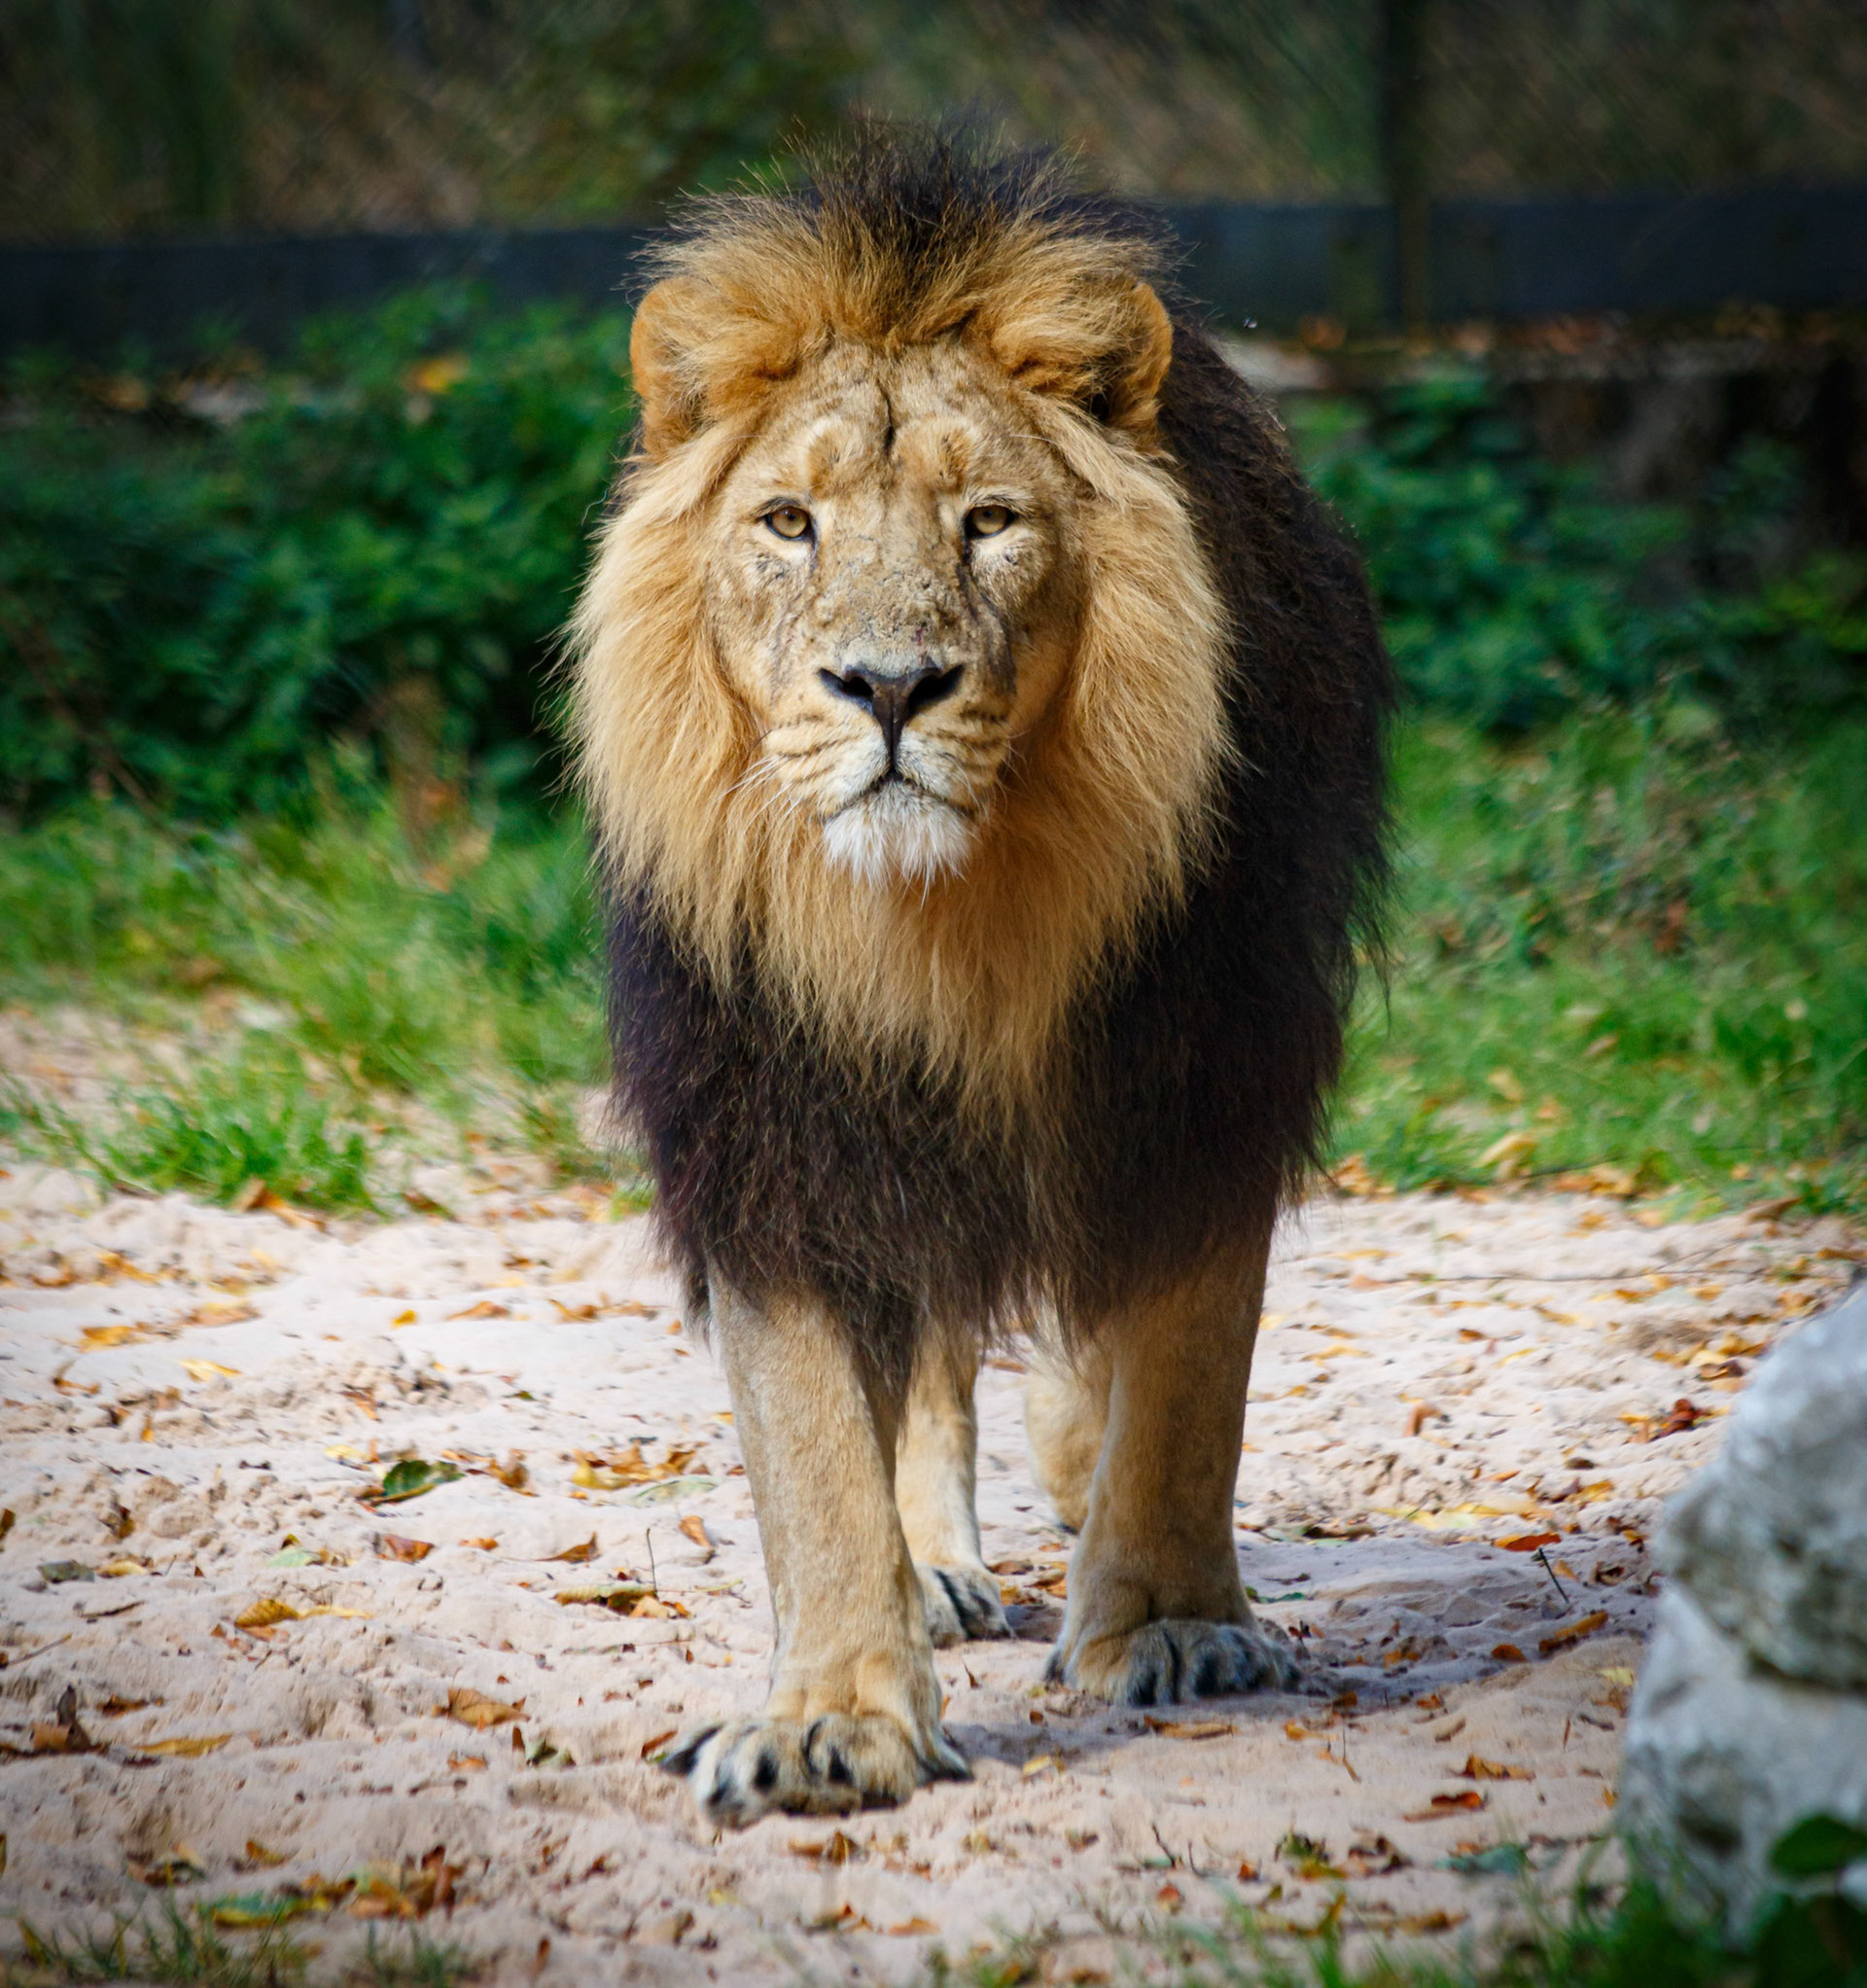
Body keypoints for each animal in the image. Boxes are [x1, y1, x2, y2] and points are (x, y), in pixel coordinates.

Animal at [569, 132, 1391, 1828]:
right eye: (790, 523)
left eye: (992, 521)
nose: (889, 687)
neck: (948, 926)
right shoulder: (774, 1121)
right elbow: (816, 1437)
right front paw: (833, 1717)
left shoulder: (1208, 1072)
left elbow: (1188, 1373)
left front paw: (1171, 1627)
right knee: (933, 1354)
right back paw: (937, 1568)